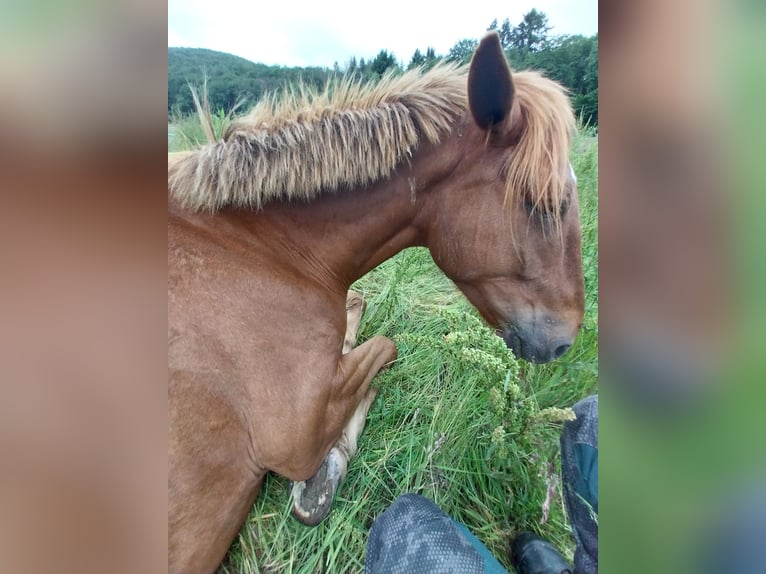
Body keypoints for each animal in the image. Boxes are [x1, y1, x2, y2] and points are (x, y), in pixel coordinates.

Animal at [168, 33, 584, 572]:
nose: (565, 342)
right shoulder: (295, 440)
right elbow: (384, 344)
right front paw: (323, 477)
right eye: (546, 206)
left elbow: (359, 313)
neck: (262, 249)